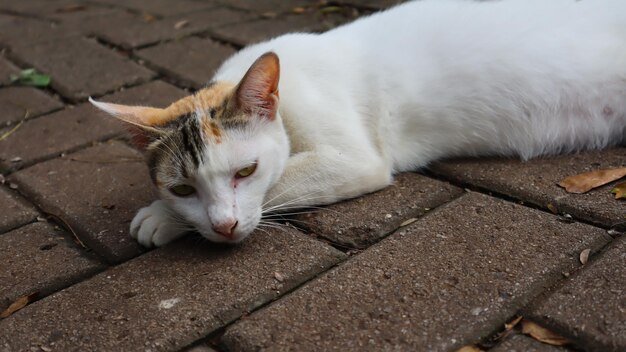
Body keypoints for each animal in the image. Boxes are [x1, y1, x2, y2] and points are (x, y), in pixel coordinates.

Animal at [89, 0, 624, 248]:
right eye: (183, 188)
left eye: (245, 172)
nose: (223, 227)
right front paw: (170, 213)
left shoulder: (353, 160)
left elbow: (283, 179)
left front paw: (161, 218)